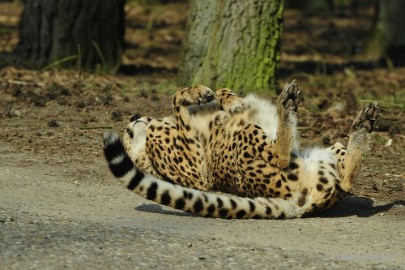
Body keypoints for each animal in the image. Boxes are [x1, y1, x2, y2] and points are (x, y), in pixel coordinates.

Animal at [102, 81, 378, 219]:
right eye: (126, 133)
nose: (134, 116)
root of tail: (302, 203)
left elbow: (212, 92)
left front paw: (227, 99)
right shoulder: (198, 170)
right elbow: (174, 97)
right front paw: (201, 95)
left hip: (331, 151)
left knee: (347, 180)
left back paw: (362, 123)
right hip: (246, 137)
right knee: (280, 156)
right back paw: (287, 104)